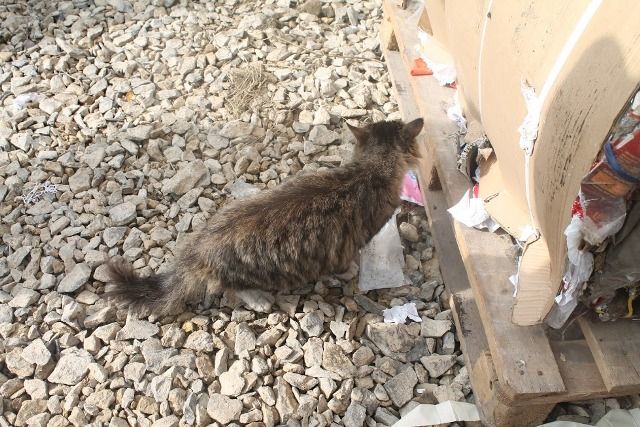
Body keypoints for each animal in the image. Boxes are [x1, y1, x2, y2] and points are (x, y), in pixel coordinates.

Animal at [105, 118, 424, 315]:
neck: (369, 169)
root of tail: (197, 250)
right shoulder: (355, 239)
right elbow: (347, 261)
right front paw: (349, 271)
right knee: (228, 286)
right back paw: (259, 300)